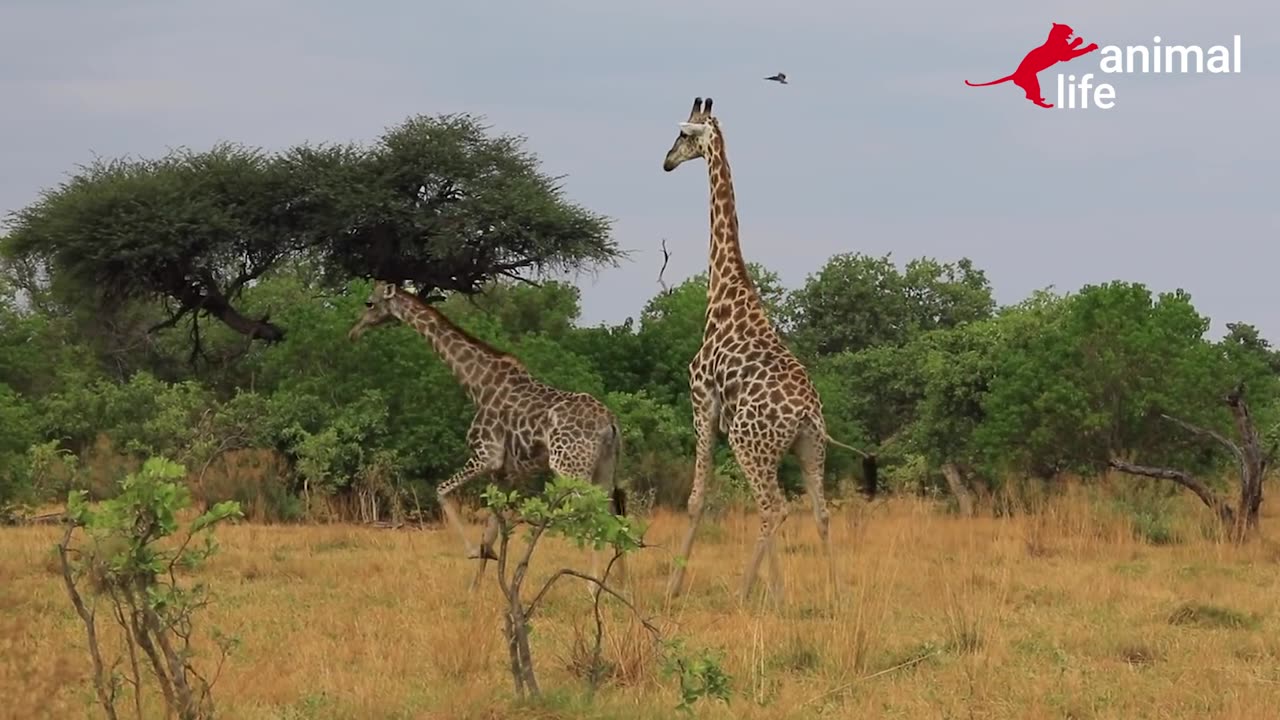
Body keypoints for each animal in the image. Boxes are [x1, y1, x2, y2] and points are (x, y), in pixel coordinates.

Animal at [350, 280, 629, 589]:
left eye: (369, 303)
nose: (354, 332)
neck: (477, 384)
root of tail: (610, 423)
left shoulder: (487, 456)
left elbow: (441, 490)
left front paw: (473, 554)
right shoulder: (504, 472)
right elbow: (492, 531)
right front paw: (478, 585)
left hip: (569, 467)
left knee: (594, 516)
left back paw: (592, 585)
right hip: (604, 468)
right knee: (614, 516)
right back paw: (619, 583)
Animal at [665, 96, 875, 599]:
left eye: (683, 135)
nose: (666, 162)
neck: (724, 295)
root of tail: (807, 414)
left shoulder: (702, 403)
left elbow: (696, 498)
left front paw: (672, 586)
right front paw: (779, 590)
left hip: (750, 442)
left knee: (774, 507)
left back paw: (743, 591)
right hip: (807, 449)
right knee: (816, 511)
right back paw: (835, 592)